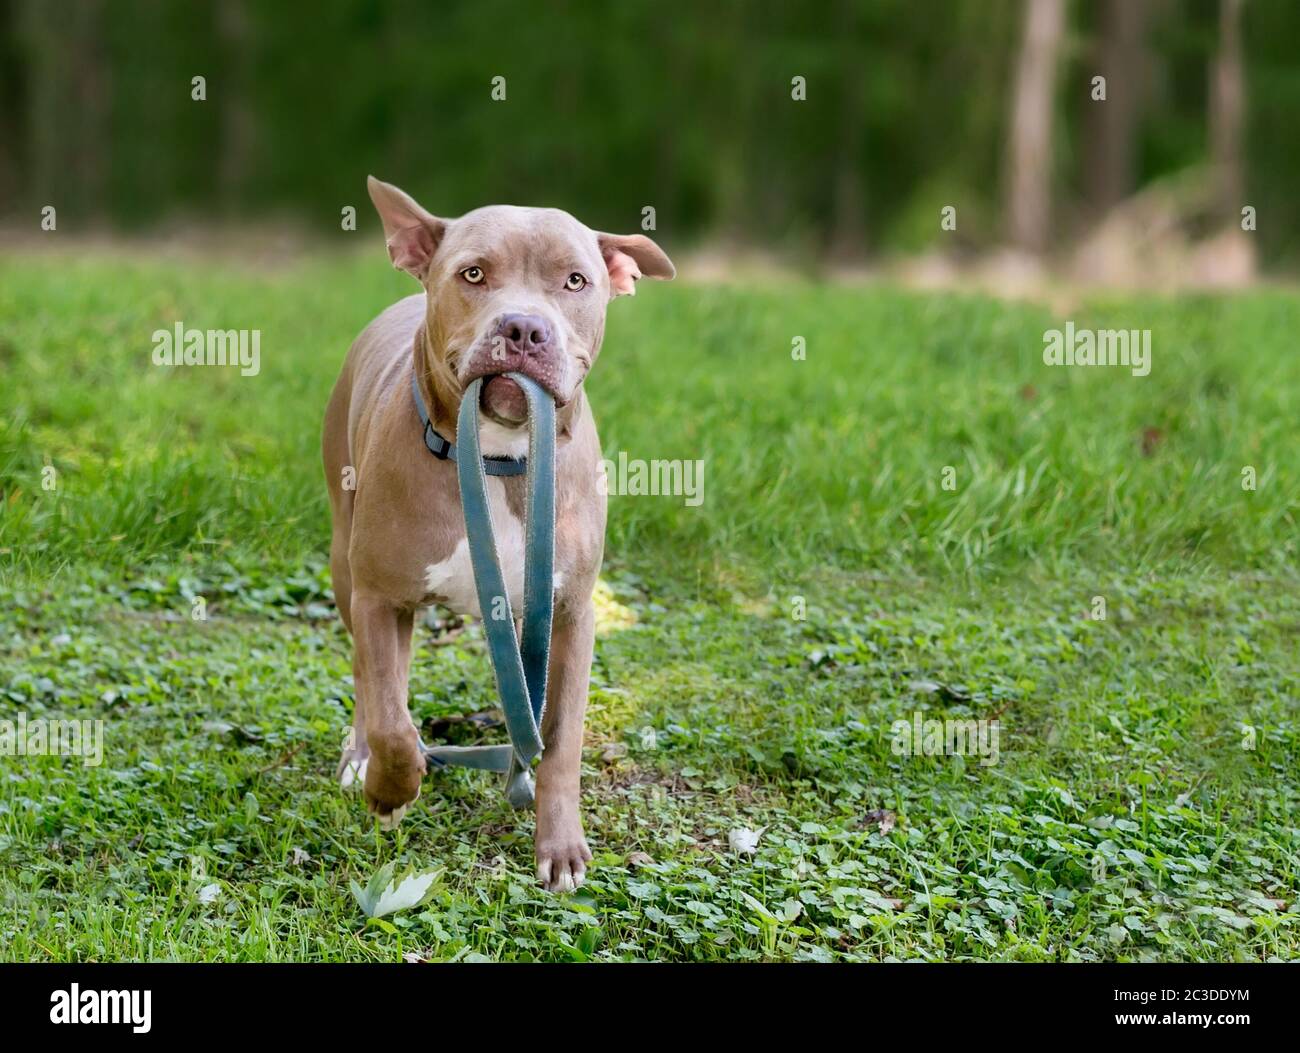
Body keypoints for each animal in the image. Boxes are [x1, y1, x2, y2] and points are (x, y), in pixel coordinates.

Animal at [321, 176, 676, 889]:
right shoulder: (378, 596)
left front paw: (559, 844)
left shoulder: (571, 611)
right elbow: (390, 713)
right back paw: (364, 756)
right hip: (347, 567)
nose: (523, 327)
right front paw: (391, 788)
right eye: (474, 274)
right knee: (373, 681)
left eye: (575, 281)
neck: (497, 457)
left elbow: (561, 736)